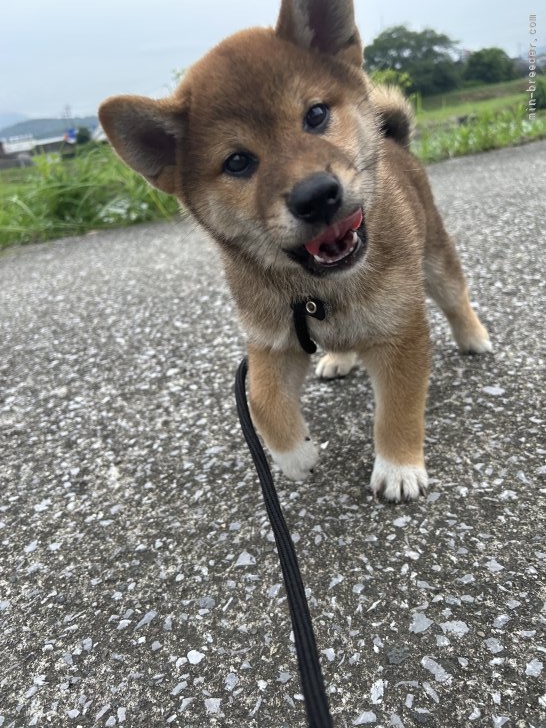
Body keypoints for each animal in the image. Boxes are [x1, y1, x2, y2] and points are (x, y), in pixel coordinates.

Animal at [98, 0, 488, 500]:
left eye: (316, 115)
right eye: (238, 161)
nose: (317, 195)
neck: (316, 292)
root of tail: (396, 143)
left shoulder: (401, 330)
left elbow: (398, 408)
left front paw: (399, 467)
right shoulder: (271, 341)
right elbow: (261, 401)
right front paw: (295, 455)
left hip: (436, 256)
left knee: (456, 297)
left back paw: (473, 338)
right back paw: (338, 358)